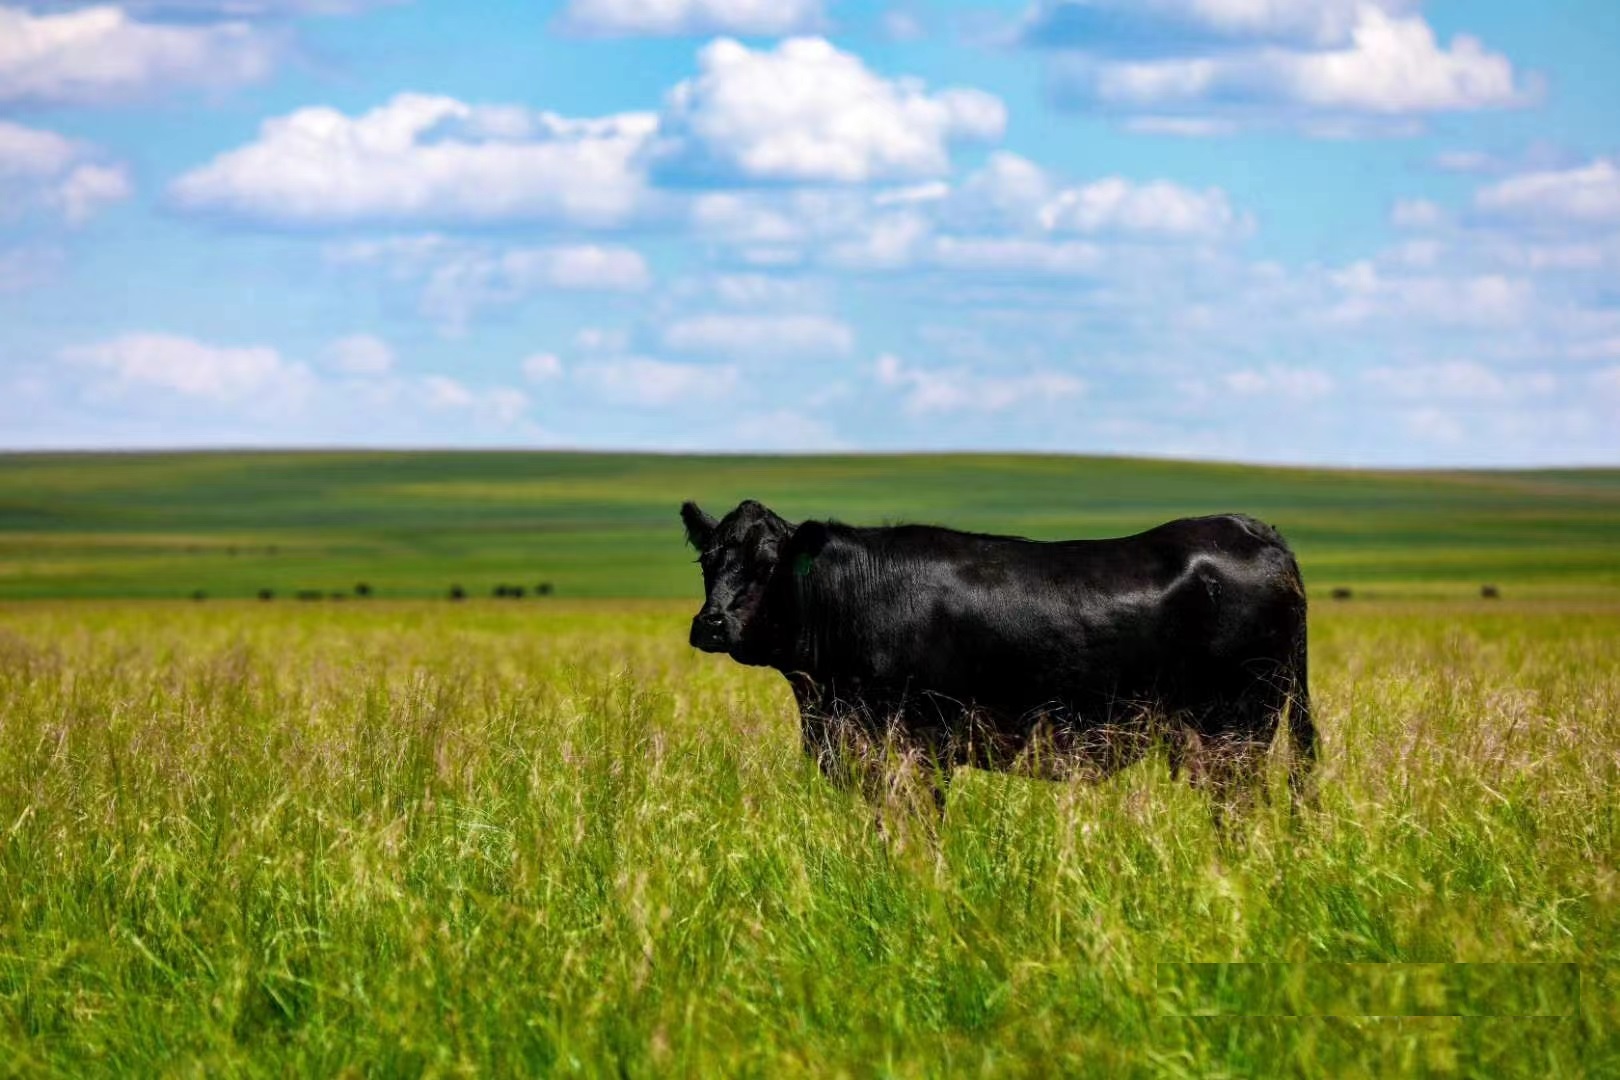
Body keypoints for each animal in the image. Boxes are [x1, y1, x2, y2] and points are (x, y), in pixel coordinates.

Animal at [683, 501, 1315, 822]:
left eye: (768, 565)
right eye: (707, 561)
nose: (710, 623)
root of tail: (1255, 528)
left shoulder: (915, 747)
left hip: (1235, 731)